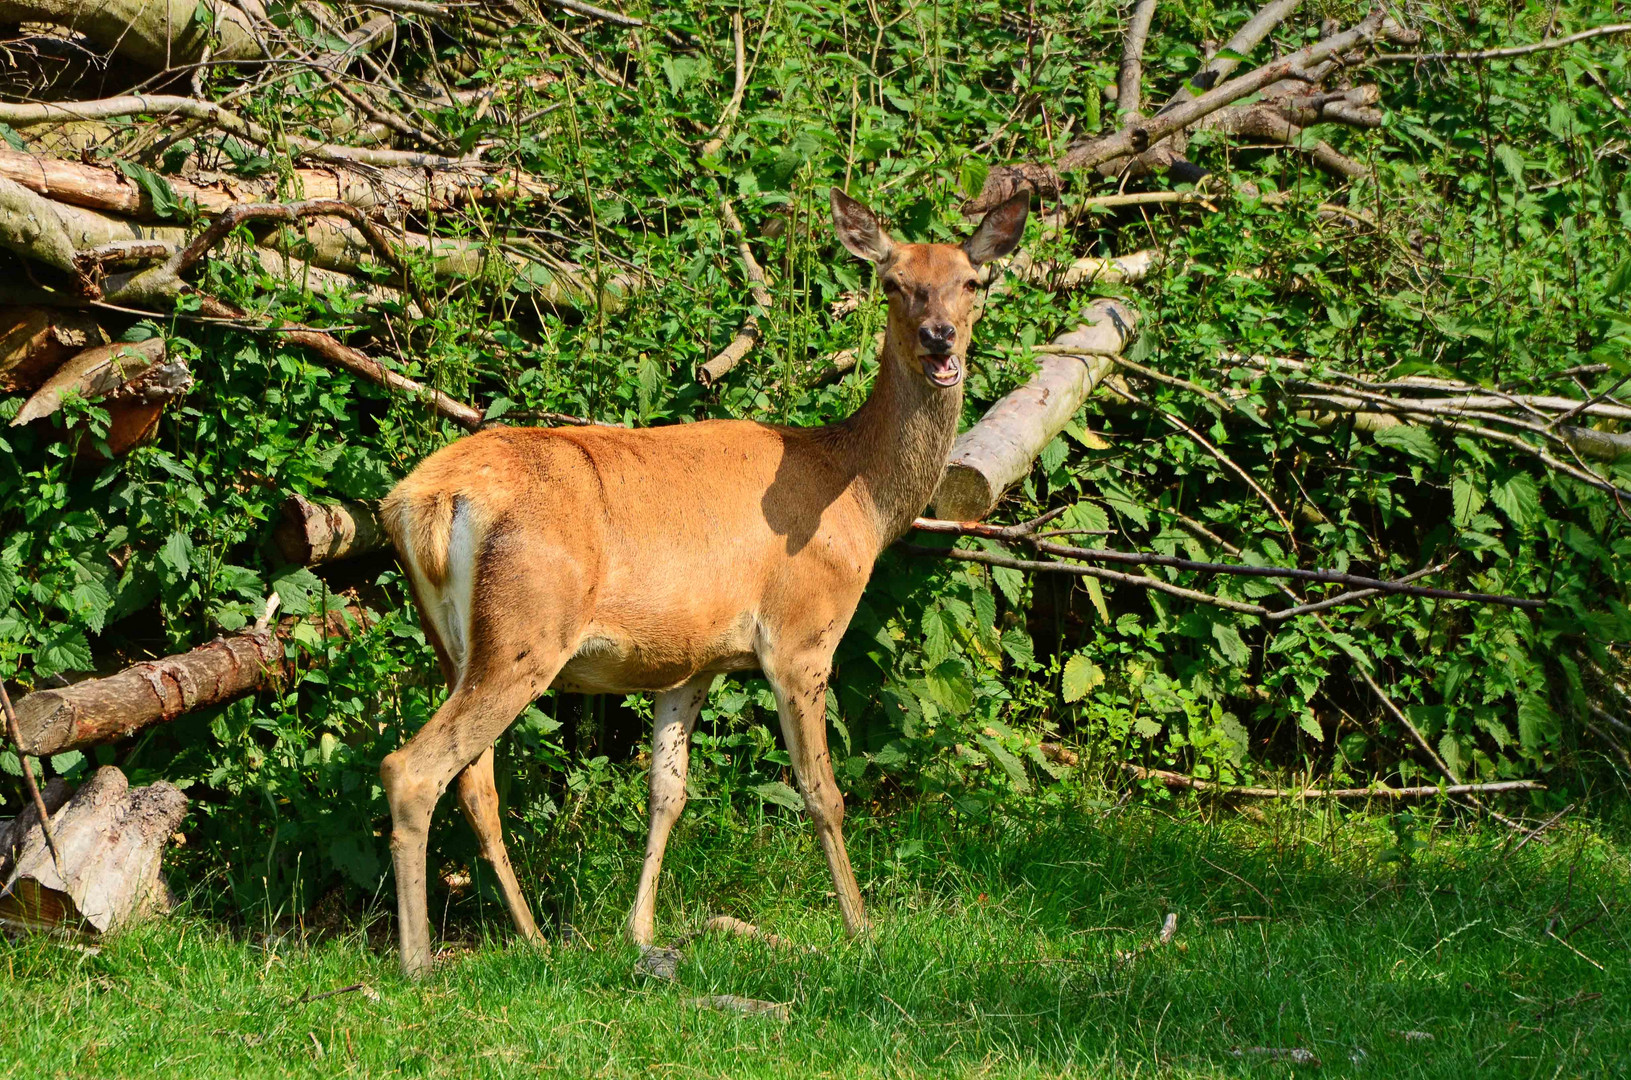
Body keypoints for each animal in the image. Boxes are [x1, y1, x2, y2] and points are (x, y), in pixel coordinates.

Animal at [375, 188, 1024, 978]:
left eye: (973, 281)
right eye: (893, 282)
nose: (939, 340)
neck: (860, 501)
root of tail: (423, 503)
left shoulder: (690, 662)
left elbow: (667, 794)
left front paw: (640, 930)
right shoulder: (802, 635)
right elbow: (821, 791)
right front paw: (861, 931)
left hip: (456, 641)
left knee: (474, 779)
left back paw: (532, 938)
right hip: (528, 629)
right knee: (413, 767)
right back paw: (418, 963)